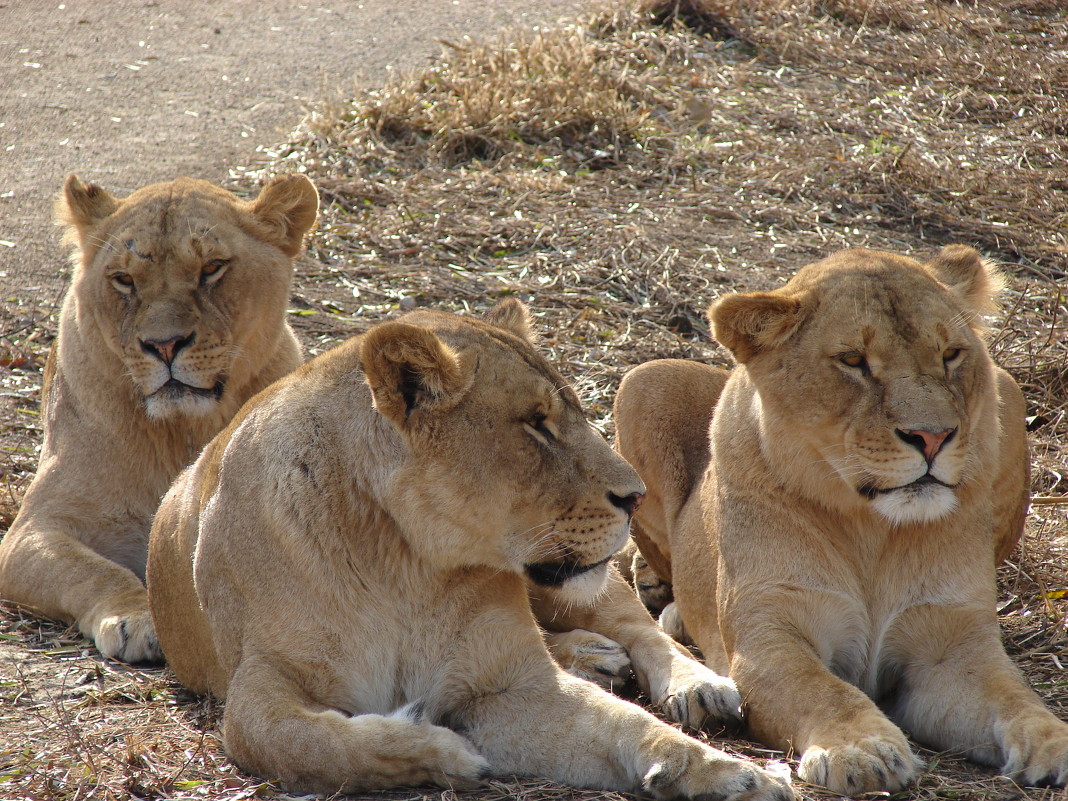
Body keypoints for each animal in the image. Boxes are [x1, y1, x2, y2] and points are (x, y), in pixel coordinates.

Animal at [0, 174, 318, 666]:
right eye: (124, 280)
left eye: (212, 268)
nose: (164, 345)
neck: (182, 429)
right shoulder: (34, 527)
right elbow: (94, 571)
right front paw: (135, 618)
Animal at [144, 303, 794, 801]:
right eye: (536, 423)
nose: (634, 497)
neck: (403, 565)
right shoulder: (256, 689)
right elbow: (312, 742)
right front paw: (445, 750)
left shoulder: (514, 689)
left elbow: (631, 727)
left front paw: (734, 775)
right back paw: (587, 655)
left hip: (587, 585)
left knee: (644, 630)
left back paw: (693, 684)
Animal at [615, 246, 1068, 798]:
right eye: (853, 361)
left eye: (951, 354)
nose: (934, 437)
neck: (871, 527)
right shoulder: (770, 637)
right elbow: (826, 692)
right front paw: (862, 748)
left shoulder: (952, 648)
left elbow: (1013, 694)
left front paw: (1053, 740)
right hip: (643, 380)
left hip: (1010, 389)